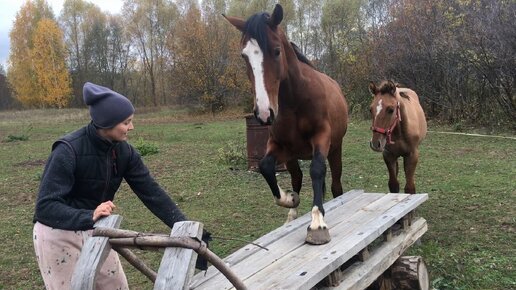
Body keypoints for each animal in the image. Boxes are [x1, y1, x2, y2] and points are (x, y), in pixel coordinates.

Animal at [224, 4, 348, 245]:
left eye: (276, 51)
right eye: (244, 56)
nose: (264, 113)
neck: (295, 101)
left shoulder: (322, 137)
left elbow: (317, 170)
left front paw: (317, 223)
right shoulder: (279, 145)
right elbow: (265, 167)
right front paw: (289, 198)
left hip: (335, 149)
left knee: (335, 184)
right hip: (291, 157)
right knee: (297, 177)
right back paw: (291, 214)